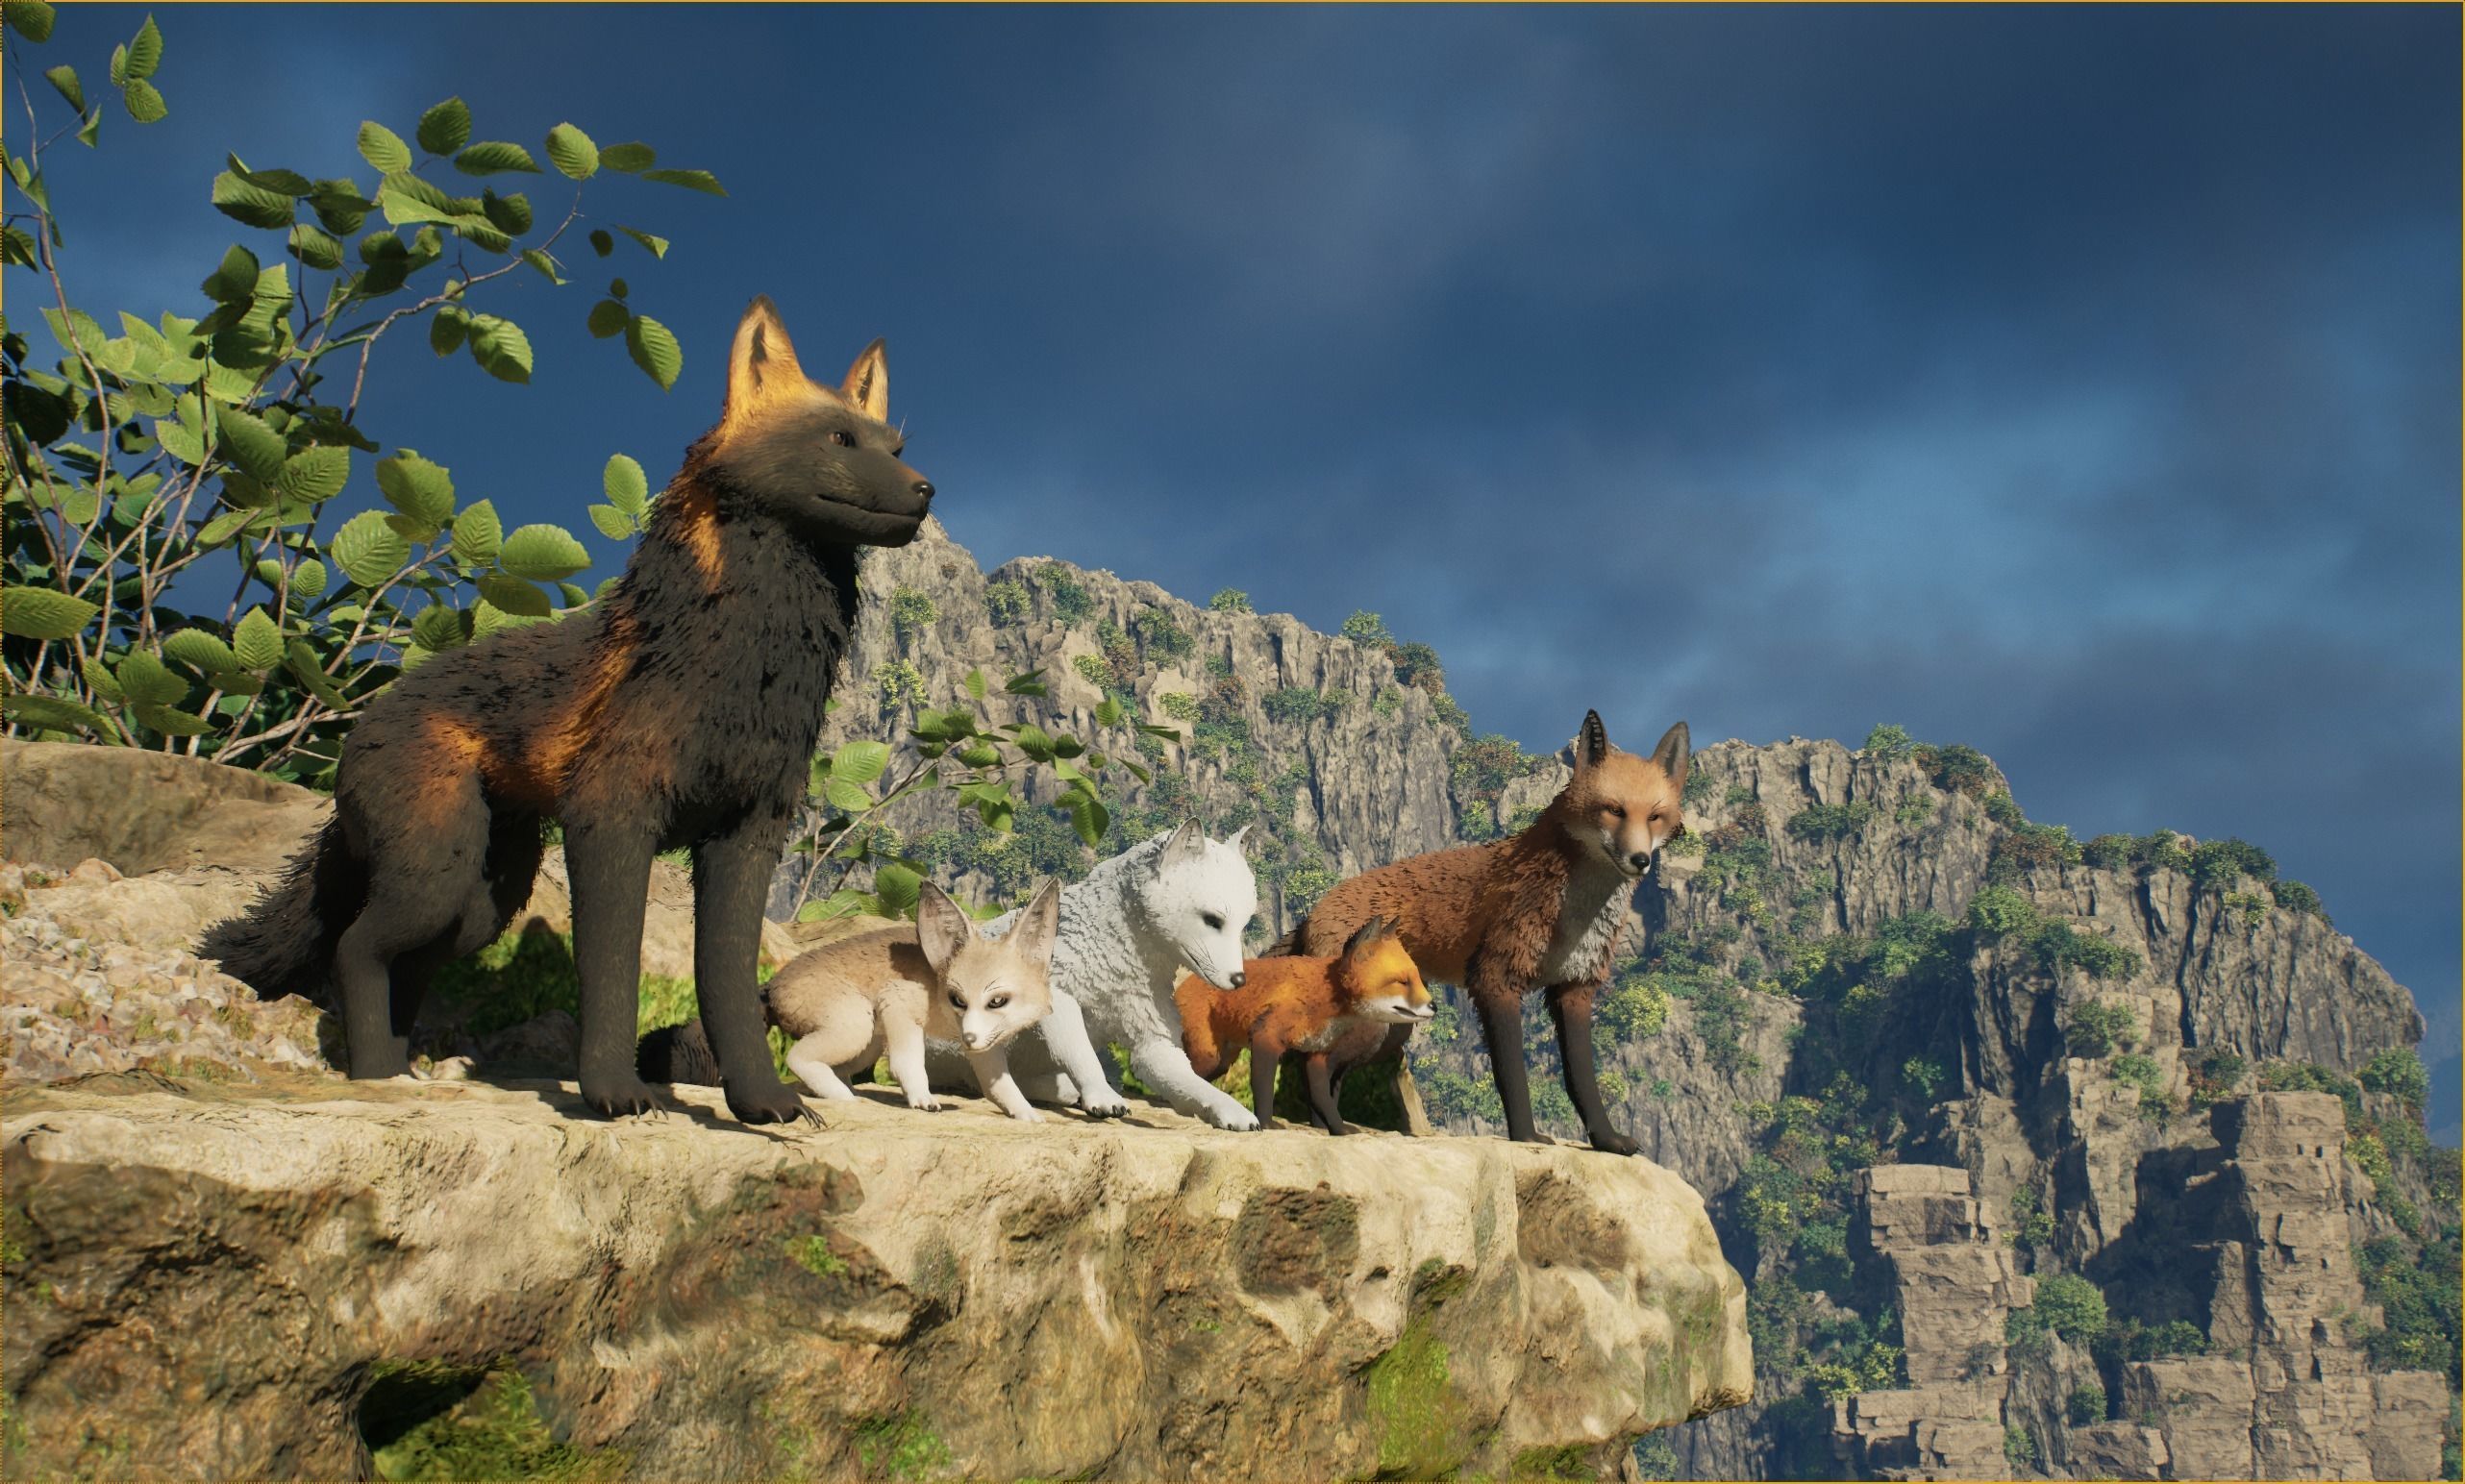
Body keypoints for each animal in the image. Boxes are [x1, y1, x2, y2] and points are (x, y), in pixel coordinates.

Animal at [198, 296, 936, 1125]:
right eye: (839, 440)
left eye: (896, 445)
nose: (925, 492)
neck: (738, 678)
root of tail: (372, 709)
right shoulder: (611, 820)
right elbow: (612, 972)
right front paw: (613, 1093)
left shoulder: (745, 836)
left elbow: (728, 988)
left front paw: (761, 1104)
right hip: (435, 874)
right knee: (356, 948)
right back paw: (375, 1079)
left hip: (481, 901)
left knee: (402, 966)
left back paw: (400, 1072)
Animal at [639, 879, 1061, 1121]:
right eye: (956, 999)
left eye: (998, 1002)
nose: (969, 1038)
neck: (936, 981)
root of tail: (769, 987)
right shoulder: (898, 1003)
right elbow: (908, 1065)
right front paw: (923, 1099)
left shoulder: (987, 1047)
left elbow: (1001, 1087)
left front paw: (1027, 1114)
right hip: (857, 1025)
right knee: (798, 1060)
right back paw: (842, 1099)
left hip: (866, 1043)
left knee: (831, 1069)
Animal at [1176, 916, 1432, 1136]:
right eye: (1402, 982)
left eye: (1417, 979)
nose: (1434, 1006)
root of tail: (1183, 985)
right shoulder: (1266, 1039)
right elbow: (1264, 1088)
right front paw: (1267, 1124)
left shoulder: (1318, 1055)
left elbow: (1323, 1100)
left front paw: (1338, 1130)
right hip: (1210, 1056)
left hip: (1222, 1061)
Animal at [1270, 710, 1688, 1154]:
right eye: (1613, 810)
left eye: (1655, 817)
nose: (1640, 860)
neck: (1574, 916)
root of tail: (1313, 911)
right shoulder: (1494, 980)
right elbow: (1513, 1077)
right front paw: (1526, 1137)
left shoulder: (1574, 988)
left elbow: (1583, 1081)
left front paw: (1607, 1140)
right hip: (1370, 1027)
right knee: (1313, 1064)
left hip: (1389, 1033)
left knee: (1327, 1074)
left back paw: (1330, 1130)